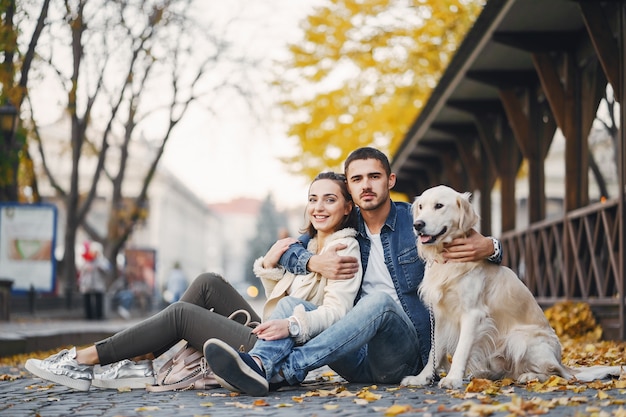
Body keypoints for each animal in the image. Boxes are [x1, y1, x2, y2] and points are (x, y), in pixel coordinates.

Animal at [400, 184, 620, 388]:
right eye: (421, 206)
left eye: (439, 206)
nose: (417, 224)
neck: (447, 260)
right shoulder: (440, 315)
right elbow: (433, 351)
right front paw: (421, 378)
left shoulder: (472, 314)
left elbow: (462, 349)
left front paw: (453, 379)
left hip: (520, 339)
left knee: (557, 374)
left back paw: (529, 376)